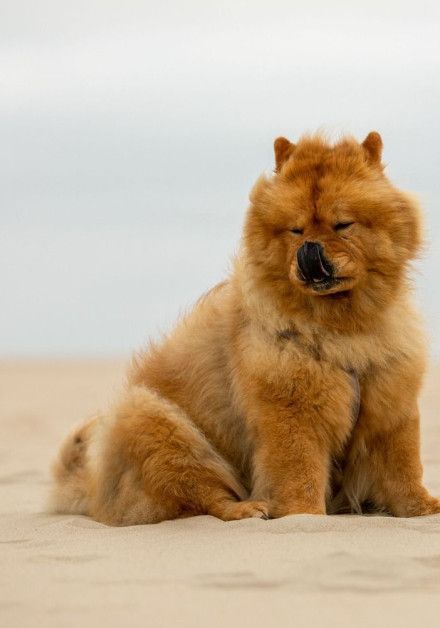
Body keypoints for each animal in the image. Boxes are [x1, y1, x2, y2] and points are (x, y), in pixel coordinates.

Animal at [49, 132, 440, 524]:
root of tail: (95, 490)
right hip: (156, 420)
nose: (309, 249)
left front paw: (424, 509)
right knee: (203, 496)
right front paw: (304, 516)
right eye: (295, 230)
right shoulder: (291, 413)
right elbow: (300, 473)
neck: (343, 327)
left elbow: (404, 469)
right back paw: (248, 508)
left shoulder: (392, 403)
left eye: (343, 225)